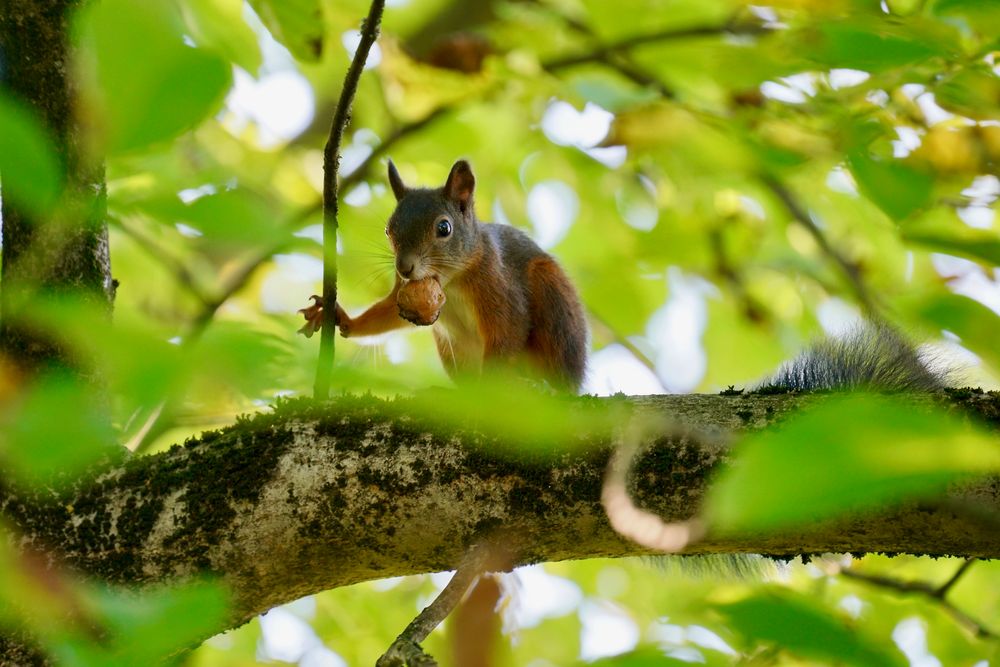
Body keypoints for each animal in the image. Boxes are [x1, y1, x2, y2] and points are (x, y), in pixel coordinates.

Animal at [300, 160, 588, 394]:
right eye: (388, 230)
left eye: (444, 227)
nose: (404, 267)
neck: (452, 282)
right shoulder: (402, 291)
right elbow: (390, 314)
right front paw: (342, 318)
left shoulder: (499, 286)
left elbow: (508, 331)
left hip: (553, 300)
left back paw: (548, 387)